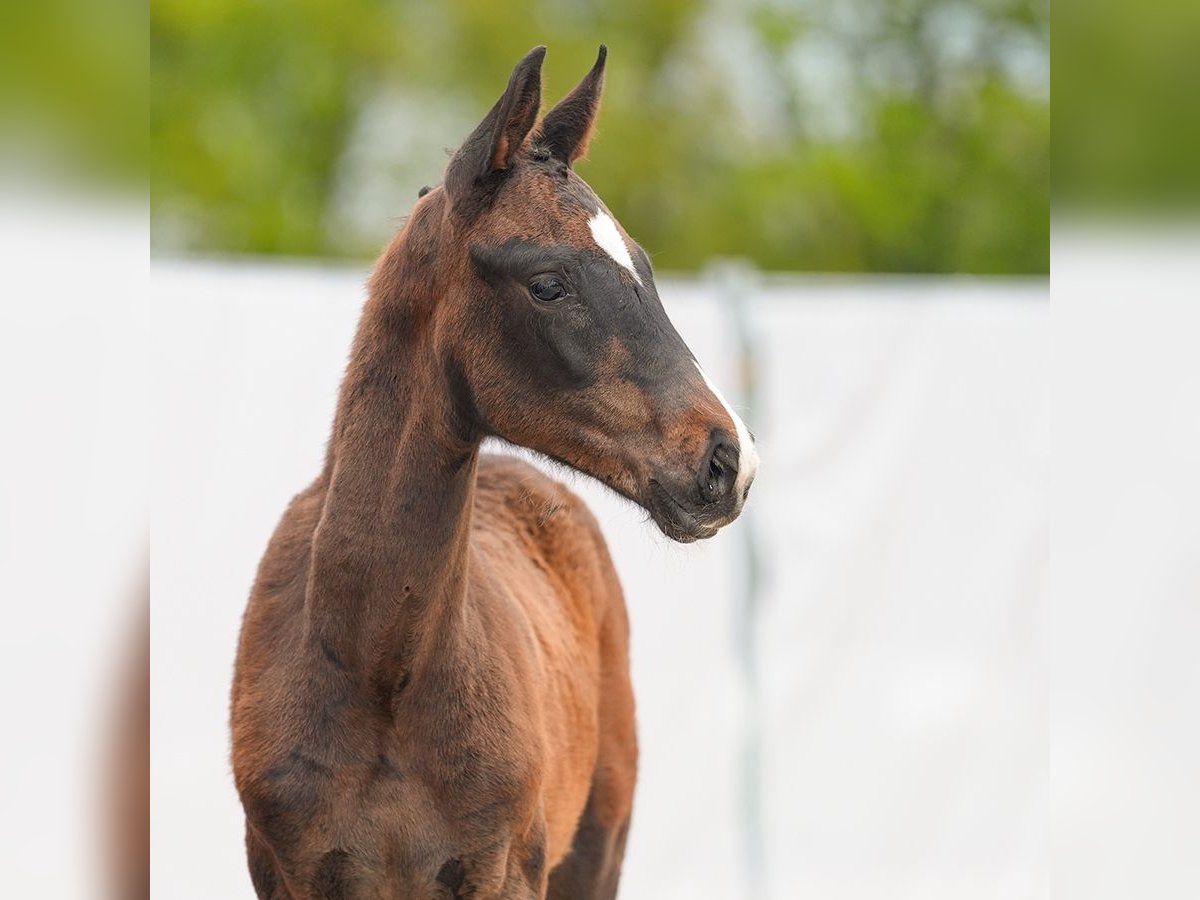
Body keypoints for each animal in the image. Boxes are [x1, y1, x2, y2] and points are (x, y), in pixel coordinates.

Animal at [231, 45, 758, 897]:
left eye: (644, 267)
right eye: (547, 282)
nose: (728, 459)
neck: (378, 665)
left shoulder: (506, 872)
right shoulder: (288, 873)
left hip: (596, 851)